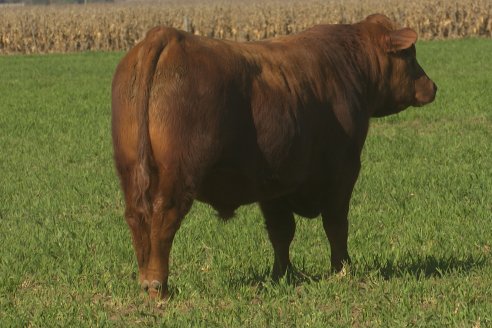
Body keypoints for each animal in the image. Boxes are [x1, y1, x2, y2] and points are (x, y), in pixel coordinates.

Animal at [112, 14, 438, 298]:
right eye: (410, 55)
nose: (432, 86)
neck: (349, 65)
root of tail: (167, 35)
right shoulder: (343, 171)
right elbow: (336, 224)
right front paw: (342, 268)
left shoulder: (274, 183)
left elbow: (281, 231)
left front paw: (282, 274)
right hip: (178, 176)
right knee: (163, 219)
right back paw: (157, 285)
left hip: (131, 173)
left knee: (137, 216)